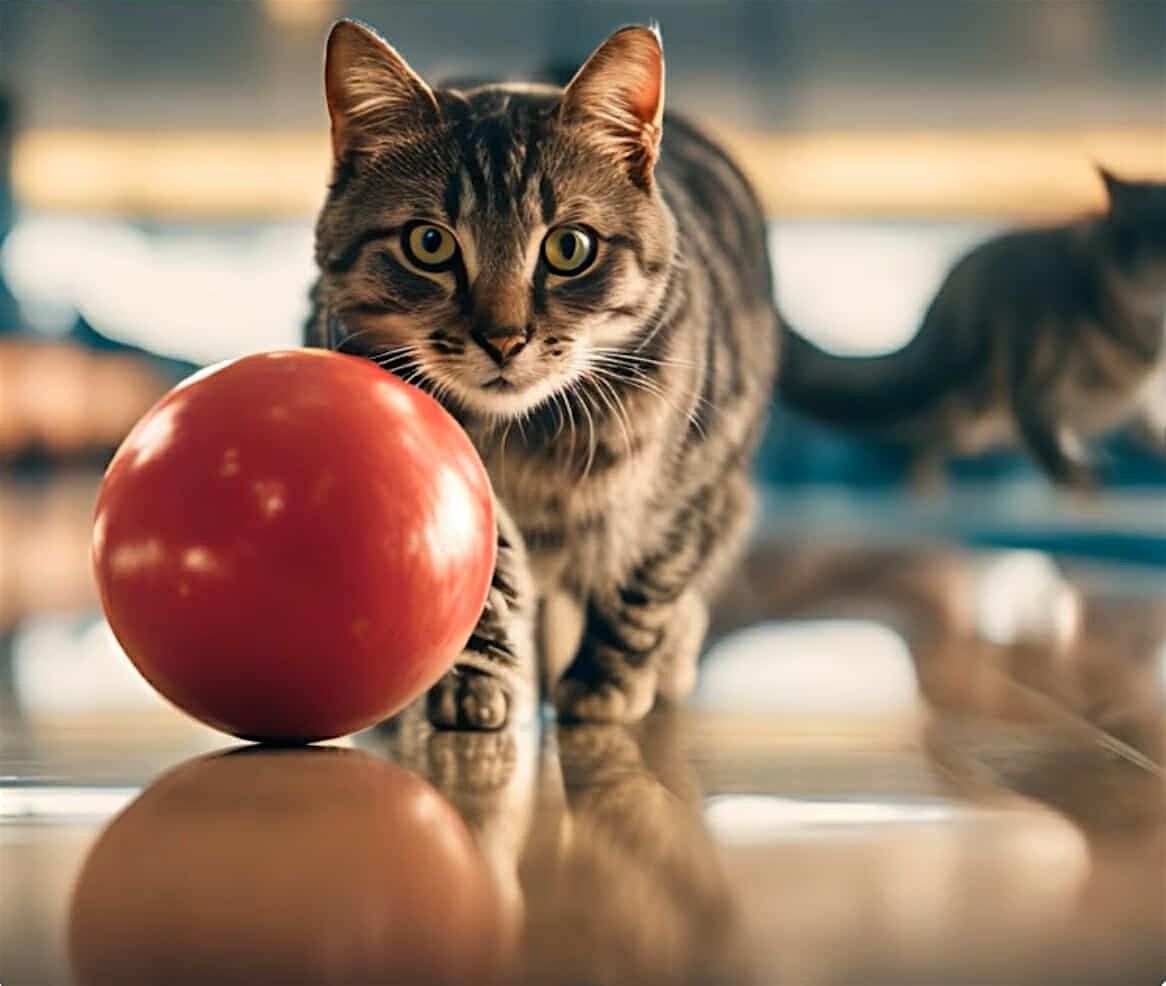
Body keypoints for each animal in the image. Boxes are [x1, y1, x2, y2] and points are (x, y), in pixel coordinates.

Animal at [305, 21, 778, 731]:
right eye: (429, 244)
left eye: (569, 247)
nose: (503, 339)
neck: (524, 443)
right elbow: (478, 573)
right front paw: (470, 683)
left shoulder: (696, 485)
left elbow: (646, 585)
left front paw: (605, 683)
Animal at [774, 171, 1166, 491]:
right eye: (1154, 233)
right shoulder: (1035, 378)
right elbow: (1042, 433)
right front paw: (1076, 477)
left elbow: (1146, 429)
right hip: (964, 397)